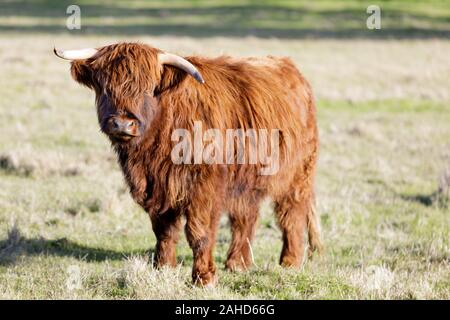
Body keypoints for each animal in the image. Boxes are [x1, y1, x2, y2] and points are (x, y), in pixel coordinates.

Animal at [54, 42, 322, 284]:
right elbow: (164, 231)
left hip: (297, 174)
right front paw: (163, 268)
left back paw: (289, 262)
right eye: (105, 87)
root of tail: (289, 68)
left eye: (148, 89)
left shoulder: (203, 188)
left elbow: (199, 232)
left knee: (291, 214)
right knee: (245, 217)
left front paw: (204, 278)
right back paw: (238, 263)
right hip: (247, 181)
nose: (122, 123)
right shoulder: (158, 188)